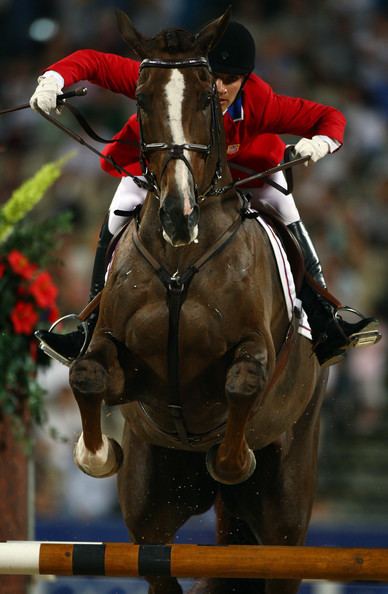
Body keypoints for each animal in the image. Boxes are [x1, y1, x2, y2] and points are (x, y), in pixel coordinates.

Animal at [67, 10, 328, 592]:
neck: (181, 259)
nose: (177, 214)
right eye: (140, 98)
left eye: (208, 94)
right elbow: (87, 375)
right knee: (158, 561)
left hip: (287, 509)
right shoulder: (122, 363)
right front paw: (95, 454)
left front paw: (232, 461)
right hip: (151, 502)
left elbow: (244, 382)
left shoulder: (254, 351)